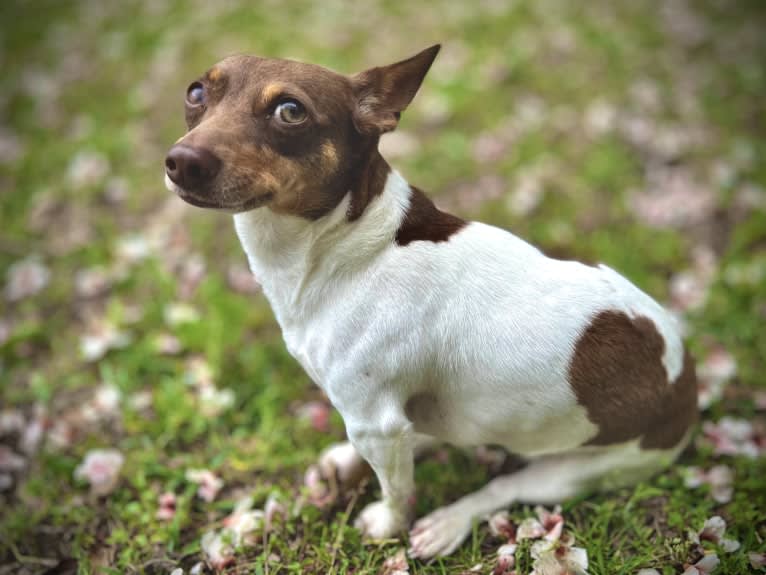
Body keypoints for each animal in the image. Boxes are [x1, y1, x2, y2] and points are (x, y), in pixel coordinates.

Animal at [165, 46, 700, 564]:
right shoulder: (377, 422)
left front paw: (388, 525)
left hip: (576, 472)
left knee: (501, 488)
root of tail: (686, 376)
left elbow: (397, 491)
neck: (347, 246)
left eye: (290, 111)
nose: (182, 161)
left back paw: (446, 523)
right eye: (195, 92)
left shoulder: (377, 421)